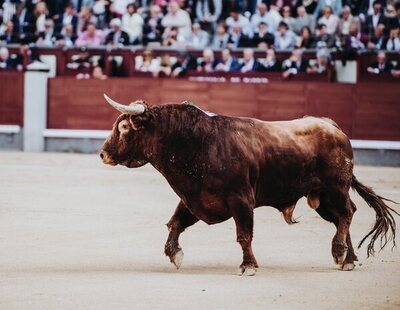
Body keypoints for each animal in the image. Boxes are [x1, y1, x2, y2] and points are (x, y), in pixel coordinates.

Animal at [100, 94, 396, 276]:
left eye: (124, 127)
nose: (103, 153)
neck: (195, 141)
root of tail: (332, 126)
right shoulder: (195, 198)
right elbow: (175, 223)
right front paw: (175, 254)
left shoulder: (241, 200)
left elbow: (244, 235)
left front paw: (248, 266)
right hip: (320, 196)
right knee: (341, 218)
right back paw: (349, 259)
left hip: (336, 186)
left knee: (346, 213)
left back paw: (339, 252)